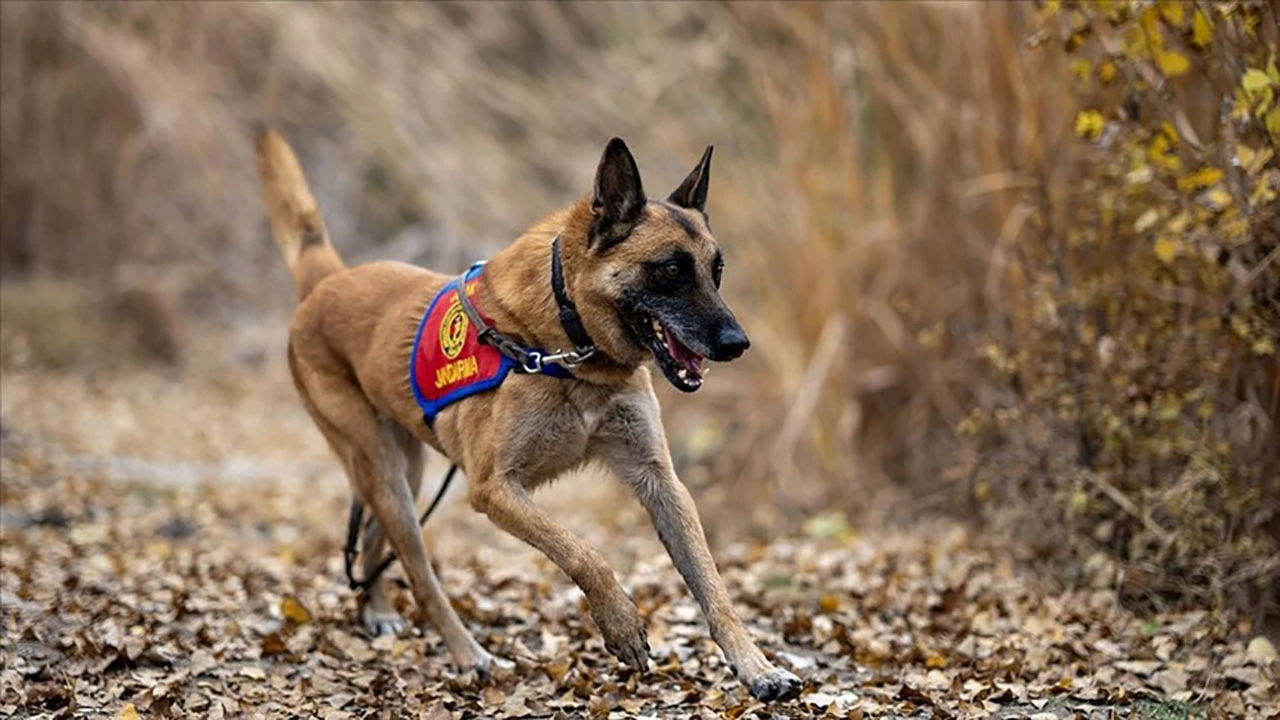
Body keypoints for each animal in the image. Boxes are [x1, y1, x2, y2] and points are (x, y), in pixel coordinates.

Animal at [252, 126, 798, 696]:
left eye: (717, 271)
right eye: (670, 269)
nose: (738, 344)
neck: (568, 345)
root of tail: (324, 282)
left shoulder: (660, 483)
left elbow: (713, 587)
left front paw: (756, 668)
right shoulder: (494, 489)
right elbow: (584, 554)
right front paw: (621, 623)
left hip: (406, 471)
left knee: (376, 541)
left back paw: (379, 611)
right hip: (383, 470)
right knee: (420, 573)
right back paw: (468, 654)